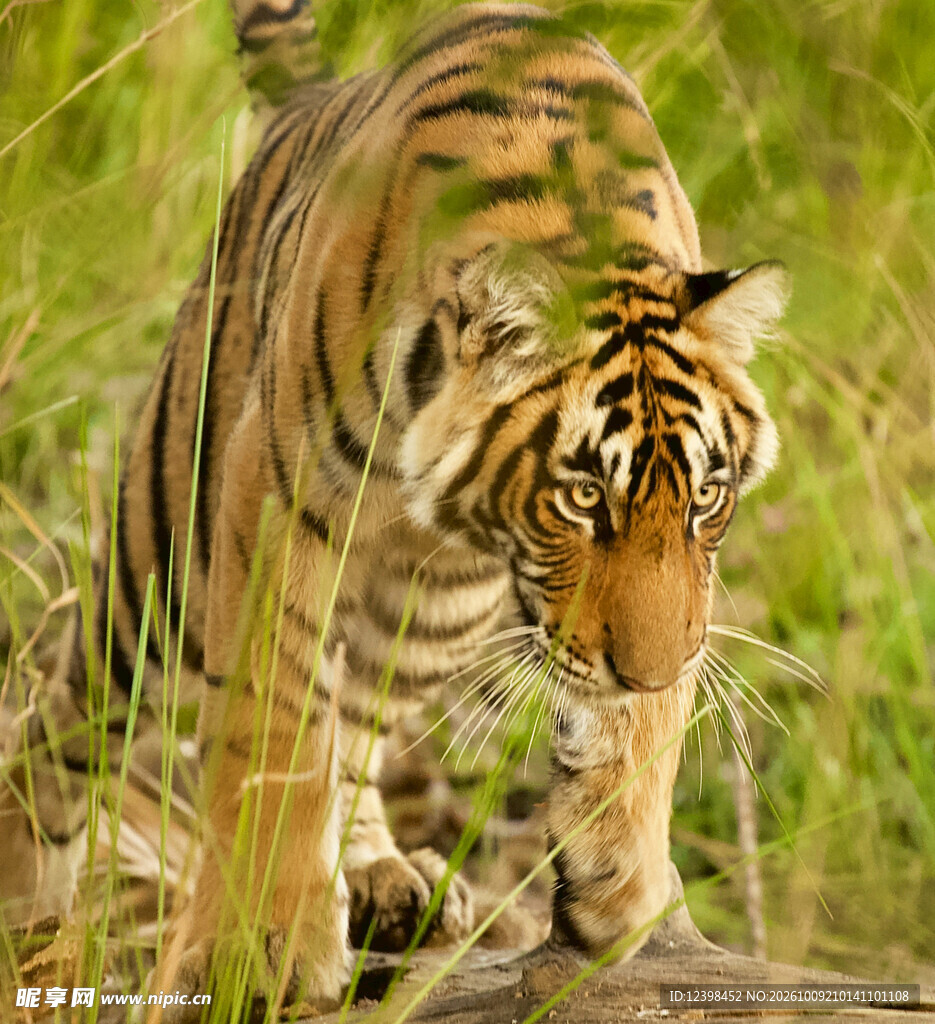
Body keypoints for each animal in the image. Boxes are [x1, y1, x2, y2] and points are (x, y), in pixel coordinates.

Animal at [0, 0, 786, 1016]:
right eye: (581, 496)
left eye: (706, 499)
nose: (643, 674)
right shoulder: (274, 493)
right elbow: (277, 725)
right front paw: (263, 945)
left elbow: (634, 740)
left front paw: (625, 896)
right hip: (161, 559)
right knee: (66, 718)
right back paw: (26, 894)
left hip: (435, 613)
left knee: (361, 718)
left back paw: (379, 877)